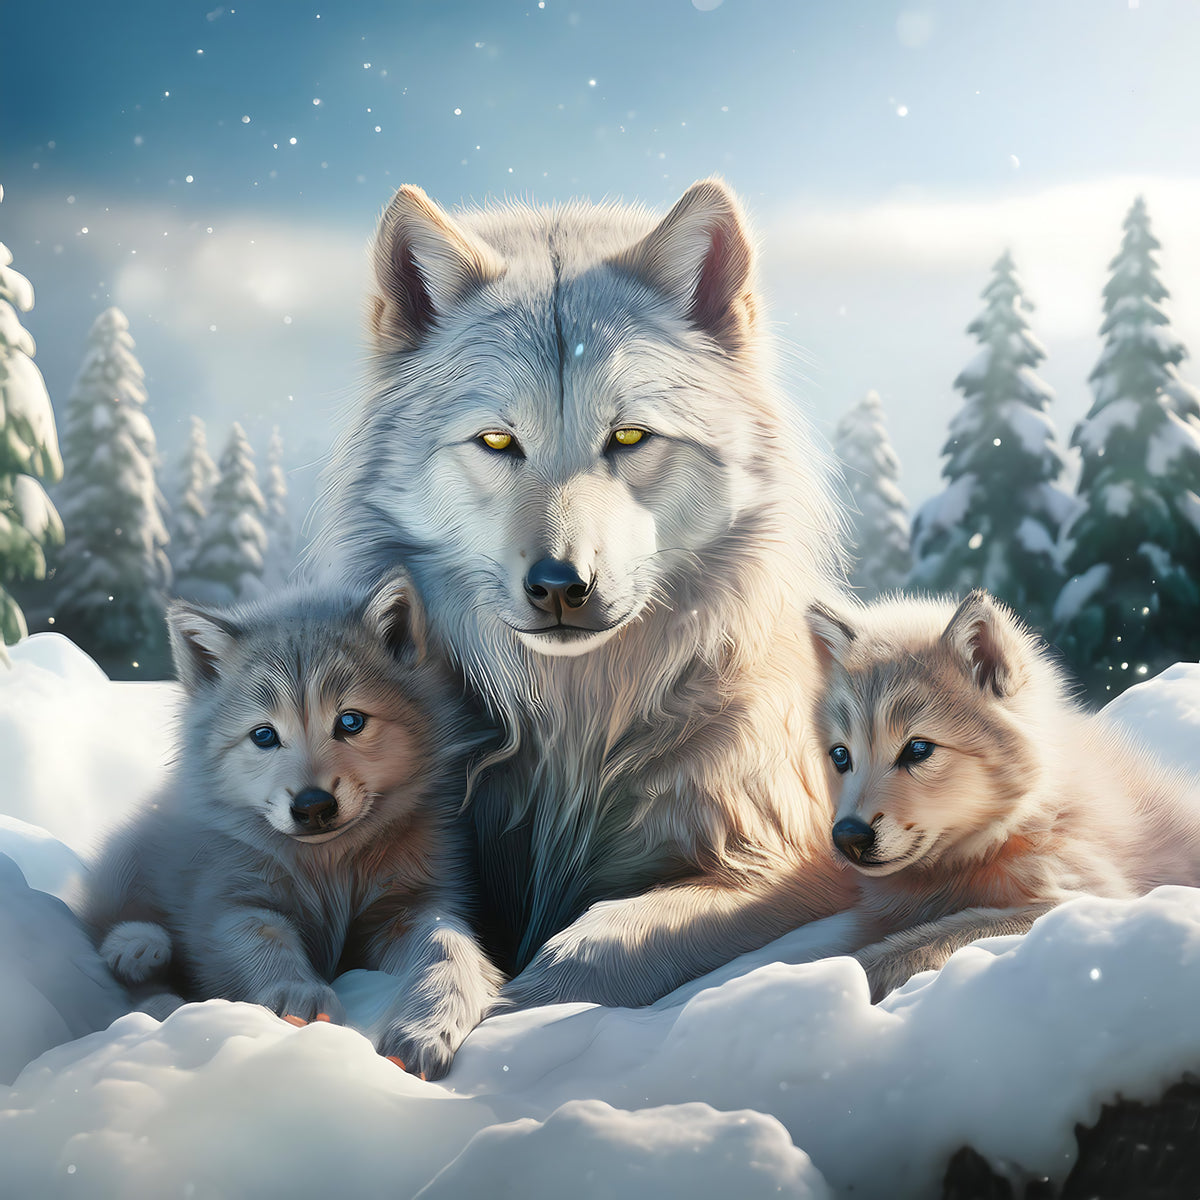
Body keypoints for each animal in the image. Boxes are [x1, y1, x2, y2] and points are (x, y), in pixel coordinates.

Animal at [82, 574, 502, 1079]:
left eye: (351, 722)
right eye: (264, 735)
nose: (313, 806)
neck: (328, 867)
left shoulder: (413, 904)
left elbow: (448, 948)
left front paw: (426, 1032)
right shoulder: (226, 904)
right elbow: (263, 941)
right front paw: (298, 1001)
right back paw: (137, 947)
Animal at [309, 177, 857, 1007]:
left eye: (628, 437)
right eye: (497, 441)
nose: (560, 586)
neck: (573, 726)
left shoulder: (795, 860)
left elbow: (595, 947)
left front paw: (521, 1006)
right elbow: (440, 940)